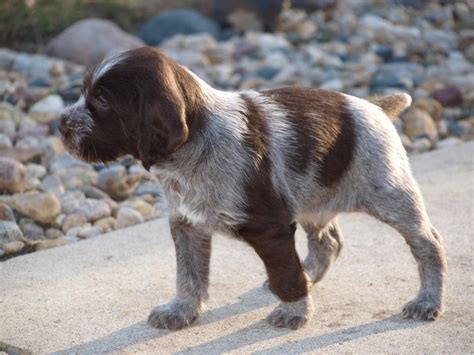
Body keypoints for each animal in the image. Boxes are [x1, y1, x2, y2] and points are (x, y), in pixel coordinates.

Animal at [58, 46, 444, 330]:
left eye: (103, 101)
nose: (60, 125)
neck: (197, 144)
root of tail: (375, 107)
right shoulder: (186, 223)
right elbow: (189, 275)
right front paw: (181, 310)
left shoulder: (270, 227)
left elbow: (285, 273)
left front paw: (294, 310)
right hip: (313, 197)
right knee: (328, 242)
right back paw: (311, 274)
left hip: (389, 193)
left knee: (428, 243)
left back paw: (427, 301)